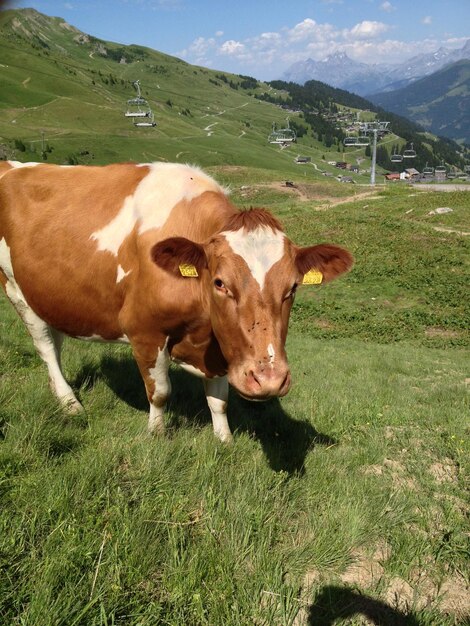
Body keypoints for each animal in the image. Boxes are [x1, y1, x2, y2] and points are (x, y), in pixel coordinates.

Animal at [0, 162, 352, 444]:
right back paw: (69, 403)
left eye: (292, 287)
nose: (269, 380)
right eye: (220, 283)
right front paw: (156, 434)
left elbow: (219, 400)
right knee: (46, 347)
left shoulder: (223, 345)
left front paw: (224, 440)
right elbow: (160, 392)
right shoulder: (144, 330)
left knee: (56, 342)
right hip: (16, 289)